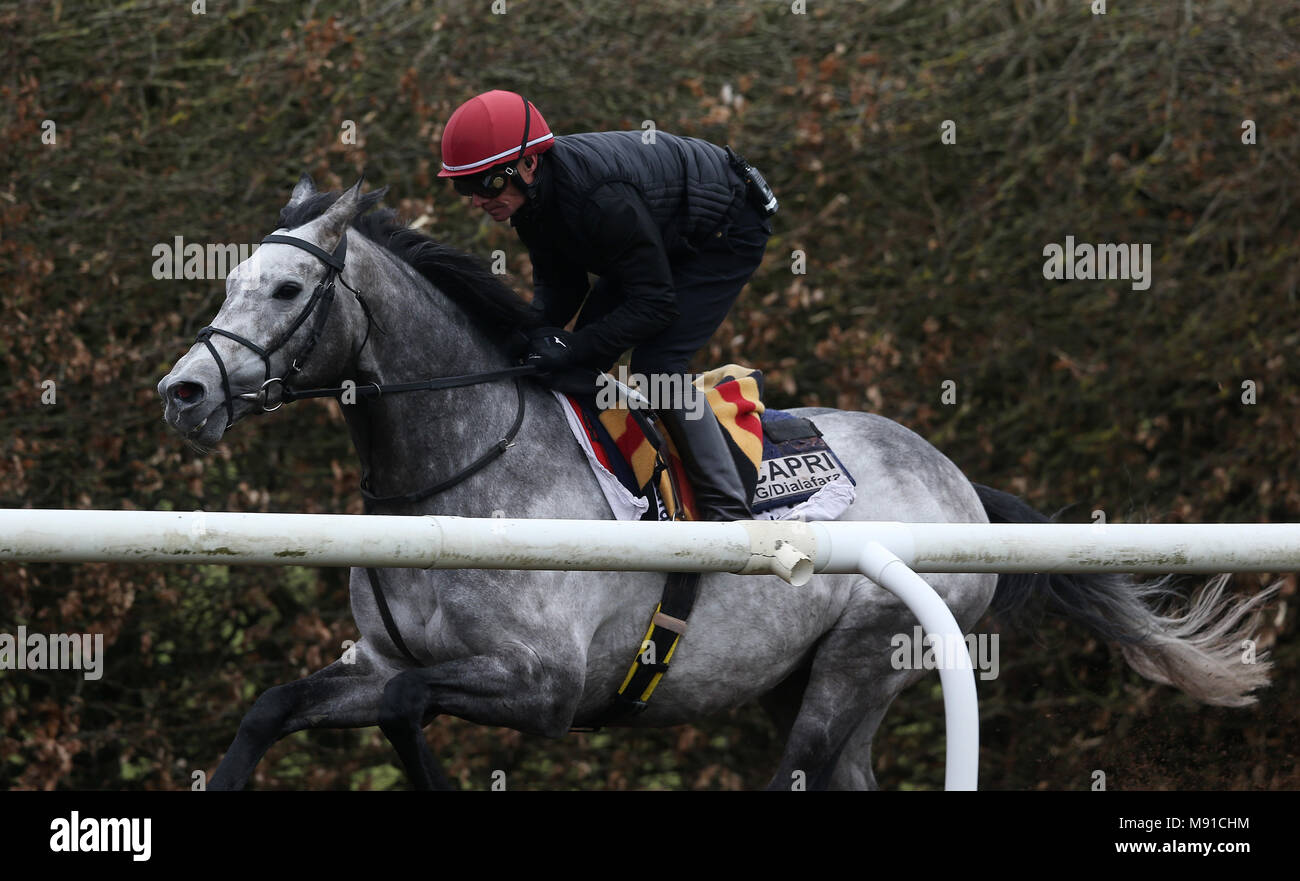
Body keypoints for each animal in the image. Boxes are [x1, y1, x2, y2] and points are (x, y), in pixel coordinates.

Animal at [154, 175, 1268, 790]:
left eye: (287, 289)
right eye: (227, 281)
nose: (182, 391)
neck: (450, 483)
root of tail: (956, 479)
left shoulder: (545, 684)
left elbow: (408, 701)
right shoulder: (375, 653)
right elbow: (281, 702)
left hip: (861, 658)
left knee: (796, 776)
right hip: (802, 680)